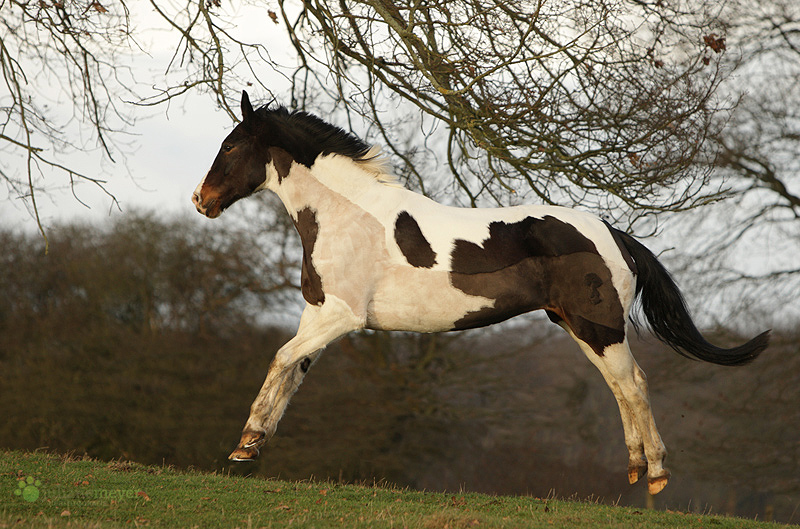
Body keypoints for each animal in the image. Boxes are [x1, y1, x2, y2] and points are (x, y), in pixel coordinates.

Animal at [192, 91, 768, 496]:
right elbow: (290, 372)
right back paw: (634, 470)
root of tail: (613, 234)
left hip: (600, 328)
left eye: (231, 145)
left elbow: (280, 360)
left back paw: (656, 475)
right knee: (622, 387)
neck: (347, 218)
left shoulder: (340, 317)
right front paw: (249, 449)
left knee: (634, 385)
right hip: (582, 329)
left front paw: (245, 445)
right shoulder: (317, 317)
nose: (202, 200)